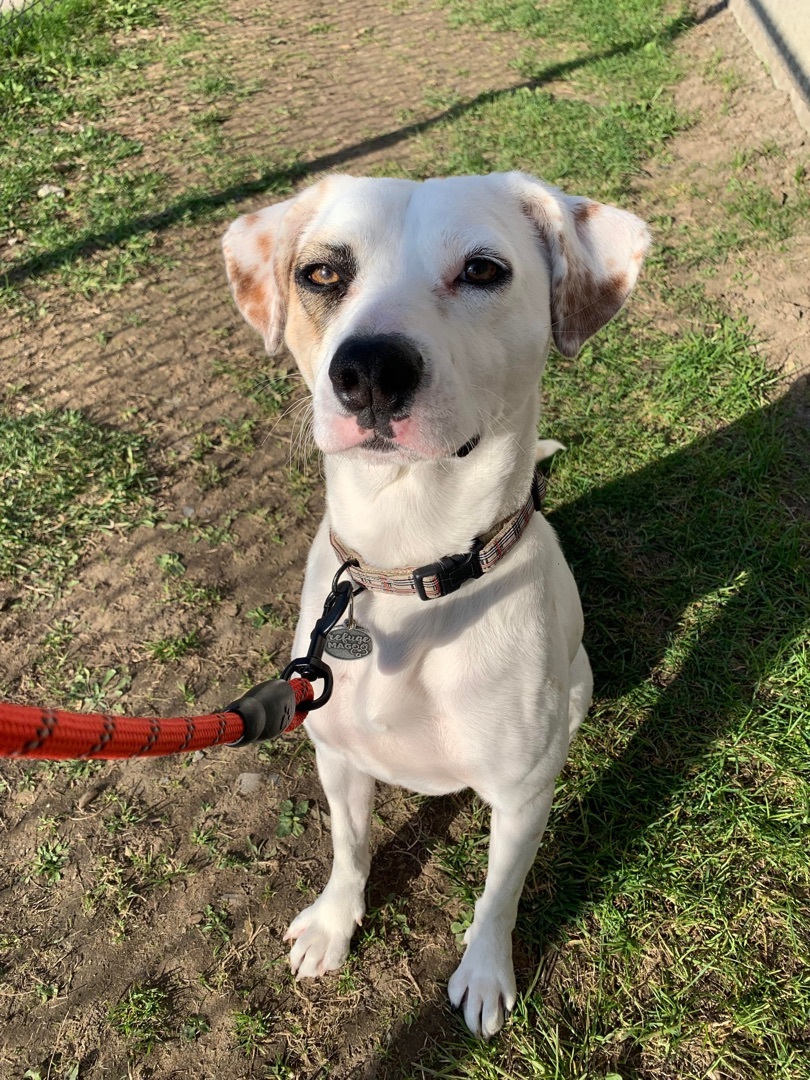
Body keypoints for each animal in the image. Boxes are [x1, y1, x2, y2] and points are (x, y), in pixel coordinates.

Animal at [223, 172, 652, 1041]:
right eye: (322, 273)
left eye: (483, 270)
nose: (369, 370)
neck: (407, 569)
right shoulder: (336, 756)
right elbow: (350, 848)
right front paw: (333, 924)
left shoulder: (521, 798)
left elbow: (498, 895)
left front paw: (484, 976)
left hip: (578, 684)